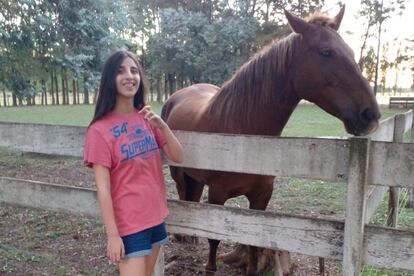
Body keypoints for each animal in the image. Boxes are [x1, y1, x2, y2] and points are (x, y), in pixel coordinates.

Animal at [160, 6, 380, 276]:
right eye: (326, 51)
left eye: (350, 51)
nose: (370, 114)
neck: (245, 137)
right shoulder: (218, 194)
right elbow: (214, 238)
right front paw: (210, 267)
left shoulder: (262, 195)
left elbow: (255, 240)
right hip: (179, 172)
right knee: (183, 193)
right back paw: (183, 236)